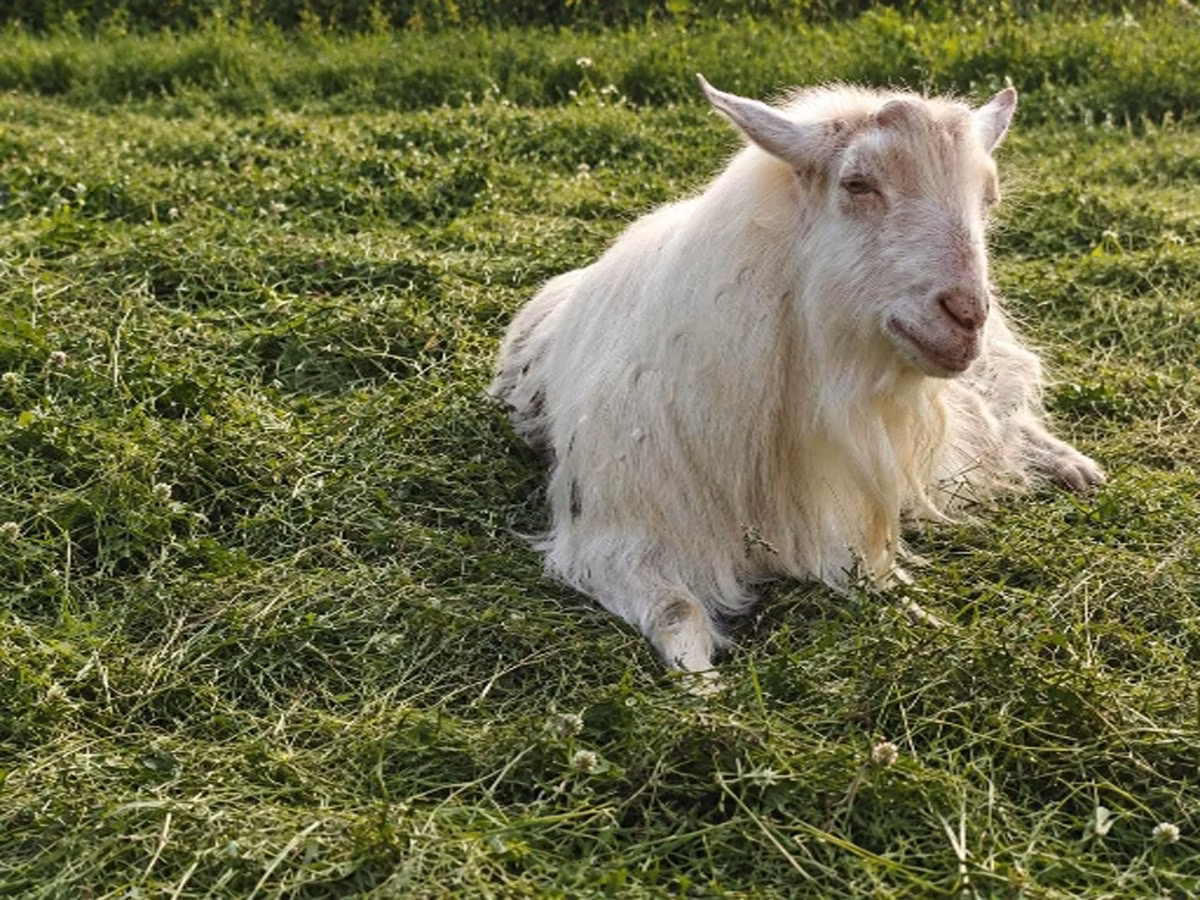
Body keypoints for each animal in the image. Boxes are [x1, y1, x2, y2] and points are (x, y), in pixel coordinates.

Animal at [491, 76, 1104, 673]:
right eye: (857, 184)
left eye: (987, 196)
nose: (967, 315)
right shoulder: (619, 540)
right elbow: (676, 613)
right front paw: (708, 689)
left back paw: (1074, 465)